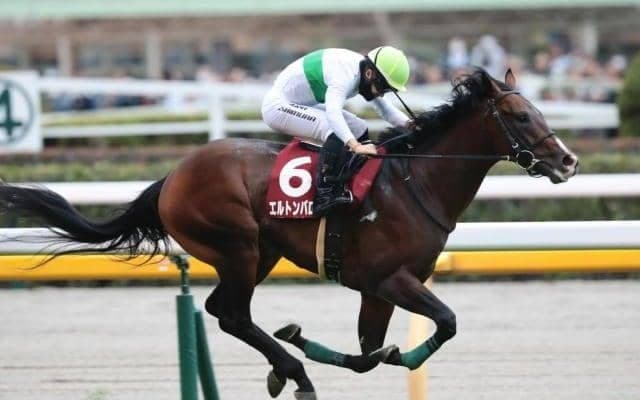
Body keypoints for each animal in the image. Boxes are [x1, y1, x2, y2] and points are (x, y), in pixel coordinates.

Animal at [0, 68, 578, 399]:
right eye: (520, 115)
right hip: (236, 244)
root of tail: (173, 175)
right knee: (232, 314)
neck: (415, 182)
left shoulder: (377, 289)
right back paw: (294, 372)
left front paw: (359, 350)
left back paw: (287, 367)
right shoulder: (391, 279)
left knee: (223, 311)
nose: (568, 161)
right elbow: (445, 322)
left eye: (537, 110)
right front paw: (311, 343)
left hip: (260, 253)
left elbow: (370, 354)